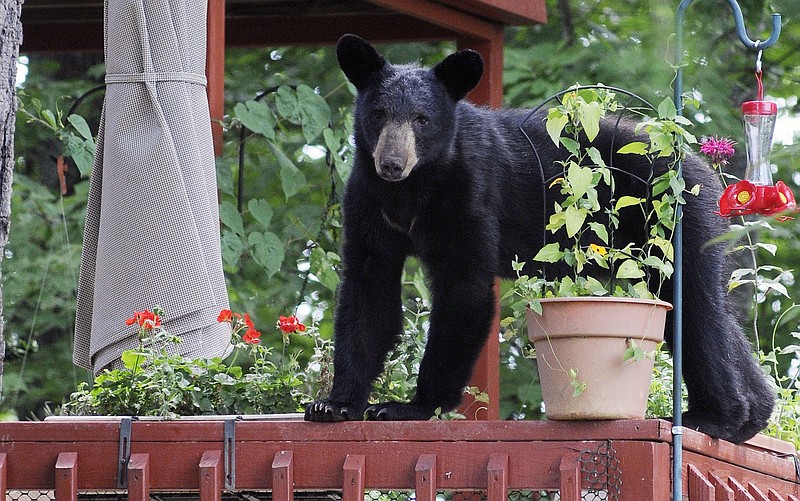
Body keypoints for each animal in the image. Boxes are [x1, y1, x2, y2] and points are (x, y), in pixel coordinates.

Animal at [304, 34, 776, 442]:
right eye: (379, 114)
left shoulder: (470, 195)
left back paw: (715, 416)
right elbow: (369, 292)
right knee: (709, 317)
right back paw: (755, 412)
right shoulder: (367, 204)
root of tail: (703, 170)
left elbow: (464, 290)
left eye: (422, 120)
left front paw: (411, 406)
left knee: (695, 307)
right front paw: (334, 403)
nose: (392, 162)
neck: (412, 193)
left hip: (675, 226)